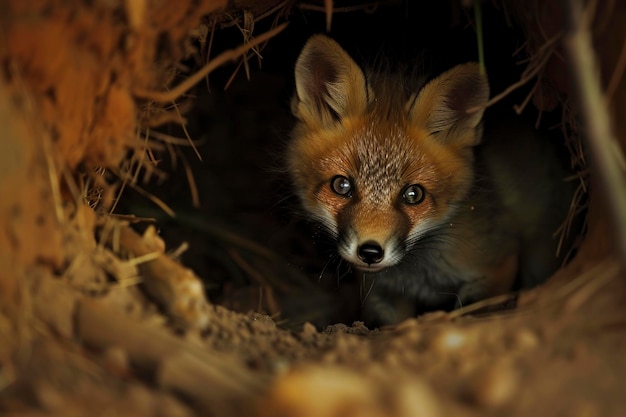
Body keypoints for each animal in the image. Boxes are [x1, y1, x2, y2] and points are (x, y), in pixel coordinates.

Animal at [288, 34, 576, 326]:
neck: (419, 276)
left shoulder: (498, 263)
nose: (370, 252)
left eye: (413, 194)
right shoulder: (382, 291)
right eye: (341, 186)